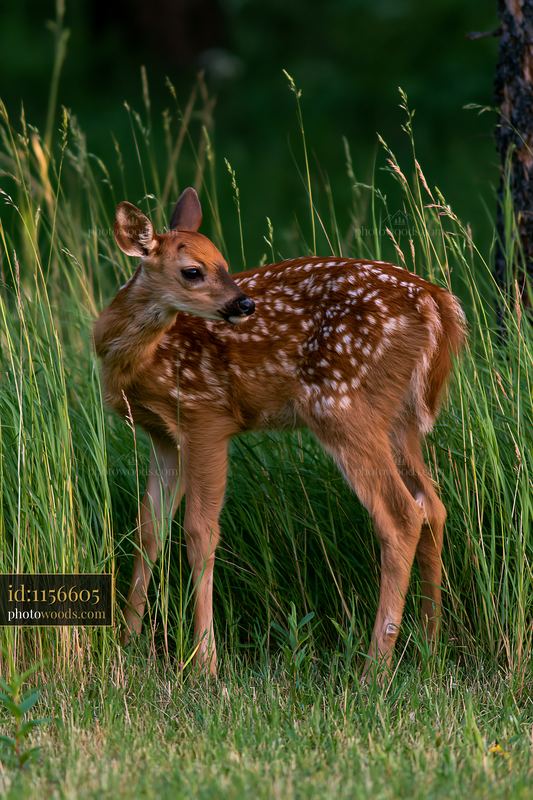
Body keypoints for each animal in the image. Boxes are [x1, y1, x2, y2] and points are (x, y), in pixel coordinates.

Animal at [93, 187, 466, 678]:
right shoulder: (164, 437)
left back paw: (374, 669)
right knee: (433, 506)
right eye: (193, 270)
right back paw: (429, 645)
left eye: (223, 262)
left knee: (402, 515)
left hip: (342, 406)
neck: (139, 359)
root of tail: (436, 303)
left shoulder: (205, 416)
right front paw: (127, 643)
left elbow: (199, 532)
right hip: (399, 420)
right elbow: (149, 531)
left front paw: (205, 664)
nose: (244, 304)